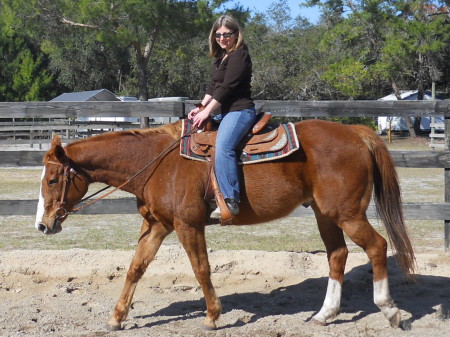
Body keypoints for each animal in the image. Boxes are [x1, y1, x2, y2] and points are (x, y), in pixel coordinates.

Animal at [34, 118, 414, 328]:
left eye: (52, 180)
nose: (43, 225)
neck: (156, 162)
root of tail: (356, 133)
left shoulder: (188, 225)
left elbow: (201, 268)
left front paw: (213, 316)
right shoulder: (158, 226)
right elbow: (135, 268)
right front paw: (117, 317)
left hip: (347, 214)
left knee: (377, 246)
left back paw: (390, 310)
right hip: (326, 215)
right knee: (337, 255)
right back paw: (325, 314)